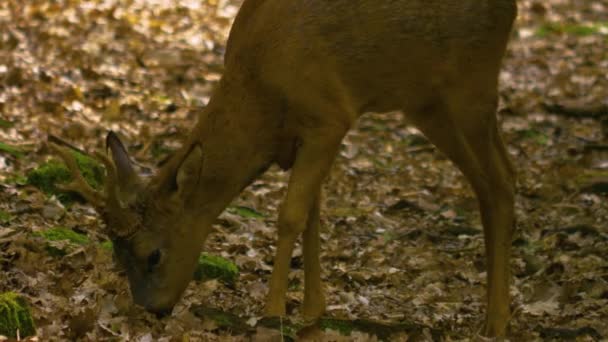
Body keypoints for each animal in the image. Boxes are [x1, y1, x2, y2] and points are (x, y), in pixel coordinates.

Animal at [53, 0, 516, 336]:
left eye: (153, 254)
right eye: (117, 255)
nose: (152, 310)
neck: (261, 93)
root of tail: (509, 7)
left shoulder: (328, 117)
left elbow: (291, 214)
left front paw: (273, 313)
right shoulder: (305, 136)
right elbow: (312, 214)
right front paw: (313, 312)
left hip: (472, 88)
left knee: (501, 181)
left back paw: (496, 322)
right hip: (428, 104)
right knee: (490, 179)